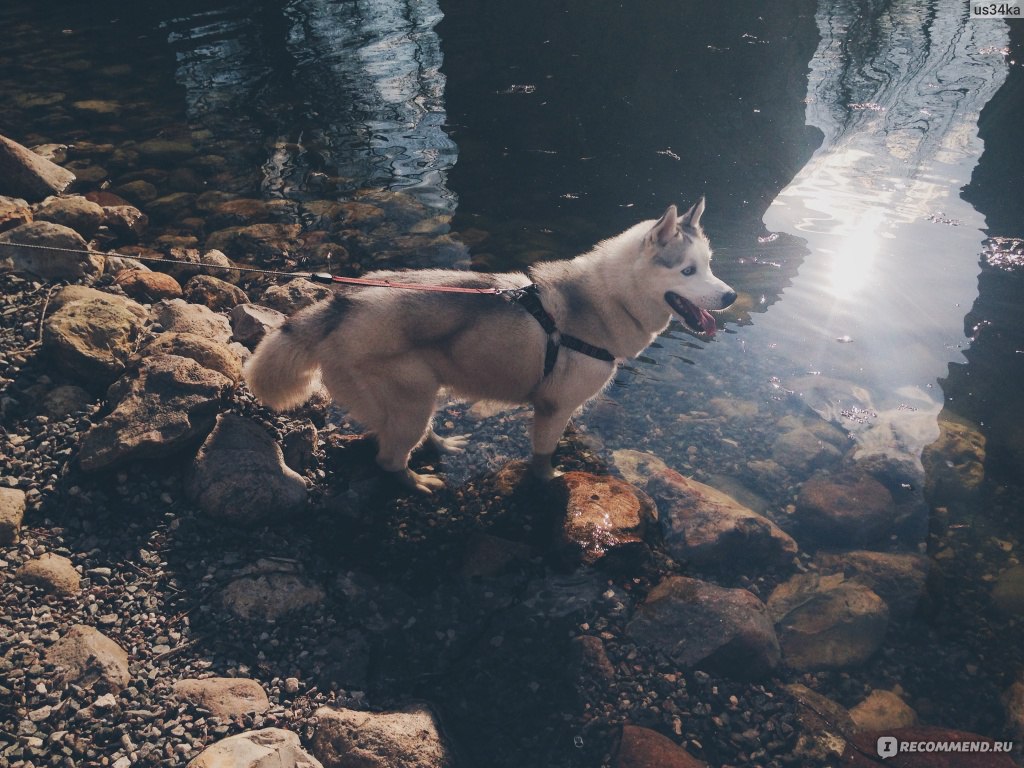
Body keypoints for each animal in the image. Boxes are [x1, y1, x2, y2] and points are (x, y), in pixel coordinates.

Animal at [243, 199, 733, 493]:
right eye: (688, 271)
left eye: (710, 265)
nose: (729, 296)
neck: (605, 300)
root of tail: (339, 303)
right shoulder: (552, 408)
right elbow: (543, 455)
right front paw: (548, 479)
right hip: (408, 398)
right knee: (388, 458)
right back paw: (415, 481)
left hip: (420, 394)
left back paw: (439, 445)